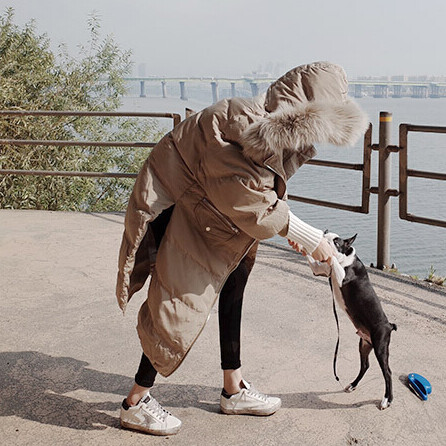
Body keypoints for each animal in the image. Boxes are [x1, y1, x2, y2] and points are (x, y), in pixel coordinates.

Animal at [306, 233, 398, 412]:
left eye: (336, 241)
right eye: (326, 233)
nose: (324, 235)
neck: (345, 258)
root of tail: (389, 325)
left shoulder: (342, 276)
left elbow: (334, 261)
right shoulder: (319, 271)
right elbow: (313, 261)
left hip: (380, 346)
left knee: (388, 372)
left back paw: (386, 400)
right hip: (364, 344)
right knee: (365, 365)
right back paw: (352, 385)